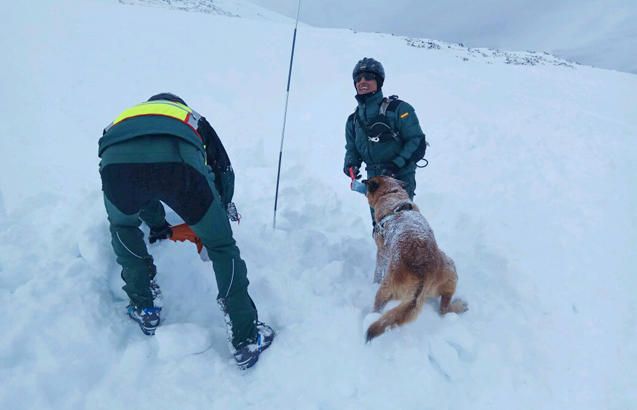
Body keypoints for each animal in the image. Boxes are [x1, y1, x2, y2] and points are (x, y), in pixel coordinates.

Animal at [362, 176, 468, 342]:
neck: (392, 195)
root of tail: (421, 275)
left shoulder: (382, 254)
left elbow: (377, 271)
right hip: (450, 271)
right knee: (443, 308)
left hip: (385, 290)